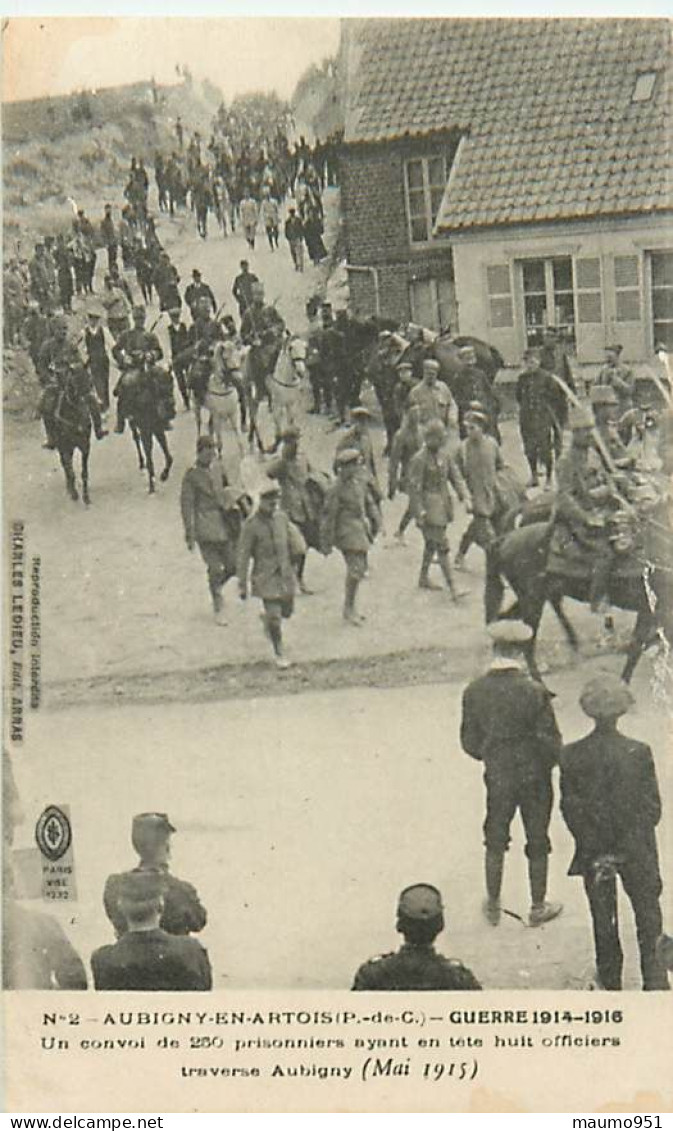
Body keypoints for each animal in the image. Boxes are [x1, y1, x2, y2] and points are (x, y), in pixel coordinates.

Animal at [484, 502, 673, 678]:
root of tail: (504, 538)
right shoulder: (651, 609)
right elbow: (636, 649)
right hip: (532, 602)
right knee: (527, 644)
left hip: (534, 597)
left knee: (505, 620)